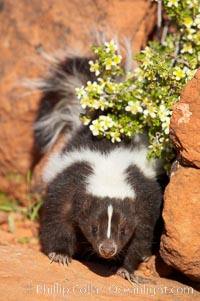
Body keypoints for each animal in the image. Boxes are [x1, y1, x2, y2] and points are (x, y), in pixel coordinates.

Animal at [34, 51, 166, 282]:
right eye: (94, 227)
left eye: (123, 230)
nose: (107, 249)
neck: (108, 167)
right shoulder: (68, 186)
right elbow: (57, 220)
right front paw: (60, 254)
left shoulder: (145, 200)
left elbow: (141, 235)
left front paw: (125, 268)